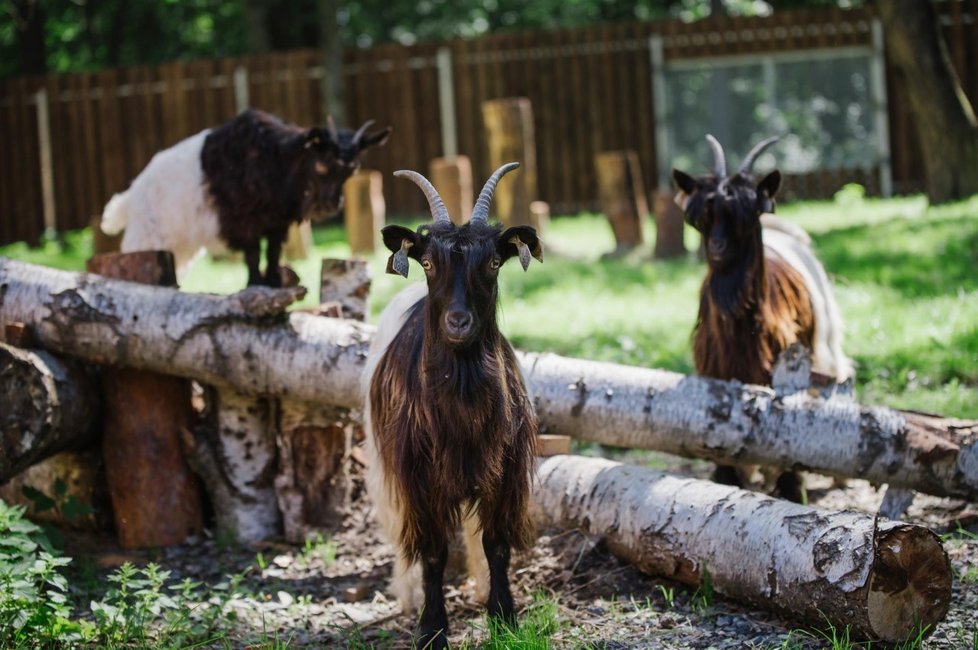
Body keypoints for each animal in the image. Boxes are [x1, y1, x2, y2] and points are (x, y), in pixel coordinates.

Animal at [98, 107, 388, 284]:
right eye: (321, 165)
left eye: (352, 170)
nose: (331, 204)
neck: (274, 161)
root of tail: (131, 197)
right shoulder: (244, 222)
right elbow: (252, 254)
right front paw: (256, 284)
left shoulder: (276, 223)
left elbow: (272, 252)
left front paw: (273, 281)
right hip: (147, 237)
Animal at [362, 163, 540, 648]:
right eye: (427, 263)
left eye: (493, 263)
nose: (458, 321)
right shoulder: (418, 477)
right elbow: (433, 553)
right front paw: (431, 629)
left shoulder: (501, 470)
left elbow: (494, 543)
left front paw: (503, 616)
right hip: (382, 464)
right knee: (396, 528)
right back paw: (405, 596)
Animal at [676, 135, 852, 502]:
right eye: (704, 218)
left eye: (746, 217)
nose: (717, 247)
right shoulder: (717, 371)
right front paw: (727, 477)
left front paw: (790, 486)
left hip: (826, 340)